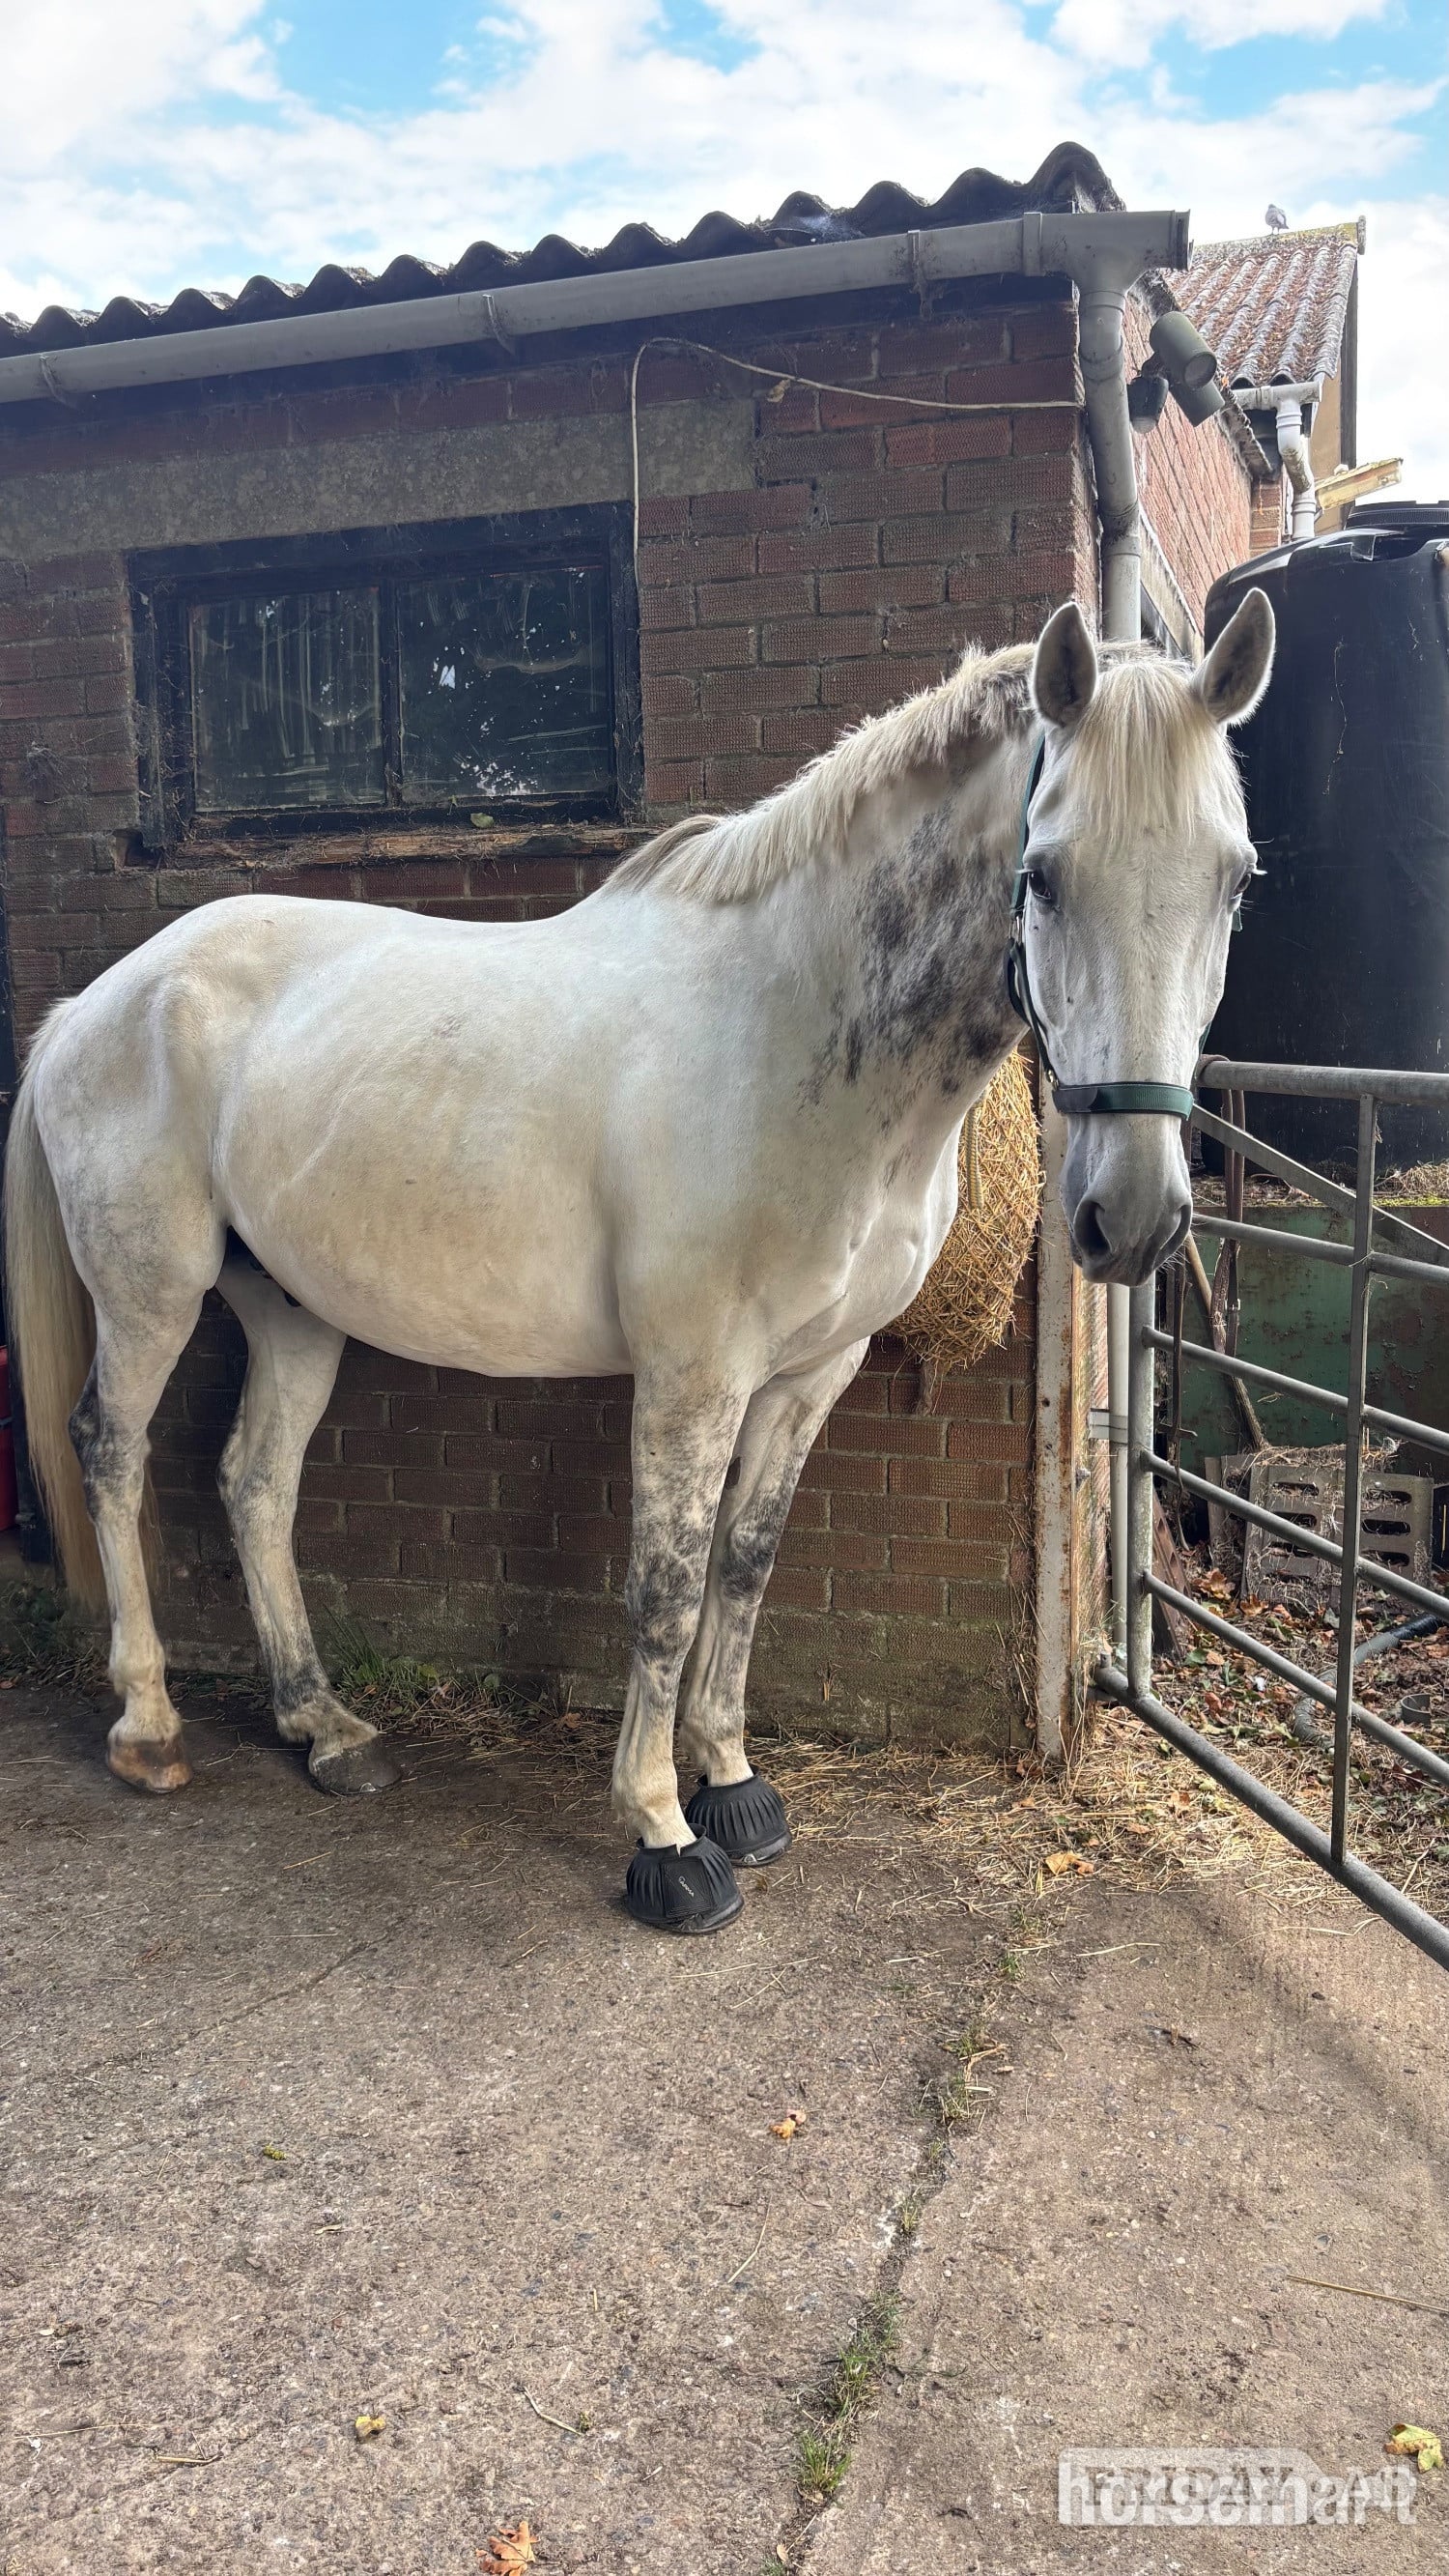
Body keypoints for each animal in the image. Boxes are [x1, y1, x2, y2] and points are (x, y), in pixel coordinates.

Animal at [4, 592, 1274, 1934]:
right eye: (1043, 875)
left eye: (1235, 881)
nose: (1131, 1217)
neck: (784, 1025)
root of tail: (99, 999)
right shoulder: (692, 1374)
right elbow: (664, 1584)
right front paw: (663, 1834)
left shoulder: (812, 1372)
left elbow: (744, 1566)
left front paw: (734, 1782)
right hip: (148, 1293)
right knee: (111, 1451)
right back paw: (148, 1725)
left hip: (290, 1303)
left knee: (253, 1482)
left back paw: (325, 1726)